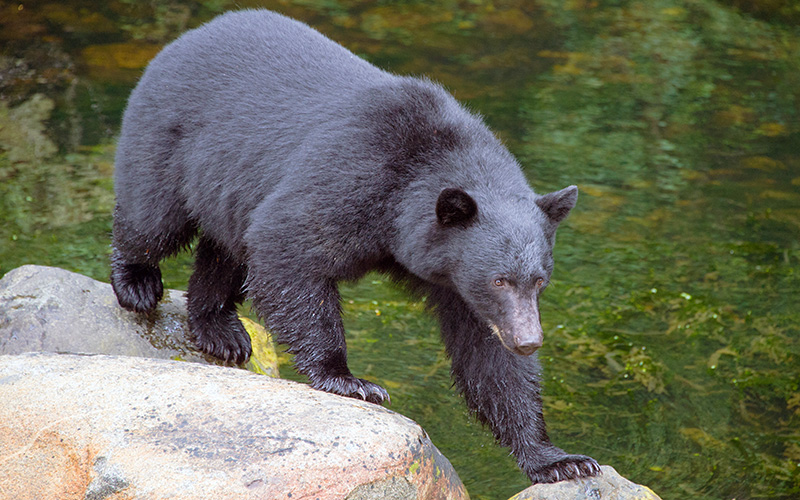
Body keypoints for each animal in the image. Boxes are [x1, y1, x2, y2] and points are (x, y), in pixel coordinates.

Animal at [111, 8, 600, 484]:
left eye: (539, 281)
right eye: (499, 279)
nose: (529, 341)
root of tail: (190, 36)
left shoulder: (457, 282)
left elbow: (489, 360)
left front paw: (558, 459)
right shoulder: (354, 176)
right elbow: (285, 244)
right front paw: (349, 379)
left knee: (224, 250)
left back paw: (220, 330)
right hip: (172, 138)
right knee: (152, 216)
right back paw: (137, 282)